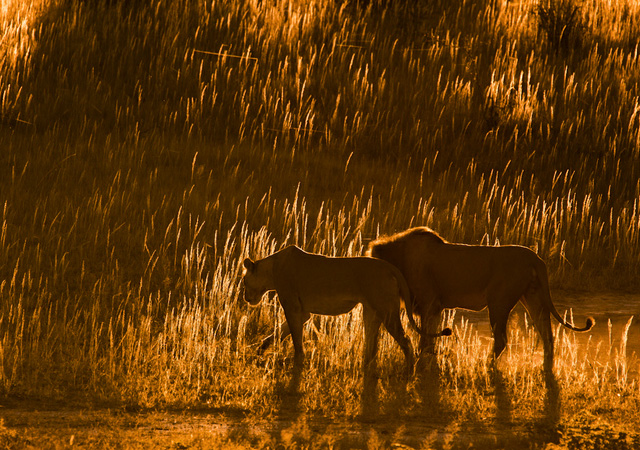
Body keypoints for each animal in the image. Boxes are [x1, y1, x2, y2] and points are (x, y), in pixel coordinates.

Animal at [244, 244, 450, 378]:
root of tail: (389, 266)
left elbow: (294, 338)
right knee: (372, 345)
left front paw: (297, 363)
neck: (271, 269)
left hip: (387, 311)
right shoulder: (303, 313)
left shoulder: (293, 307)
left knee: (406, 340)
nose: (246, 298)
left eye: (244, 281)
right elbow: (279, 332)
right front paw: (260, 349)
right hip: (371, 311)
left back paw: (409, 371)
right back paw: (365, 369)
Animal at [368, 227, 596, 374]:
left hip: (499, 302)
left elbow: (425, 340)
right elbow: (430, 339)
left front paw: (422, 364)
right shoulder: (434, 308)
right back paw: (547, 368)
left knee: (502, 339)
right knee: (547, 335)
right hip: (534, 299)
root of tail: (535, 258)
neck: (400, 256)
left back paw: (484, 365)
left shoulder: (429, 304)